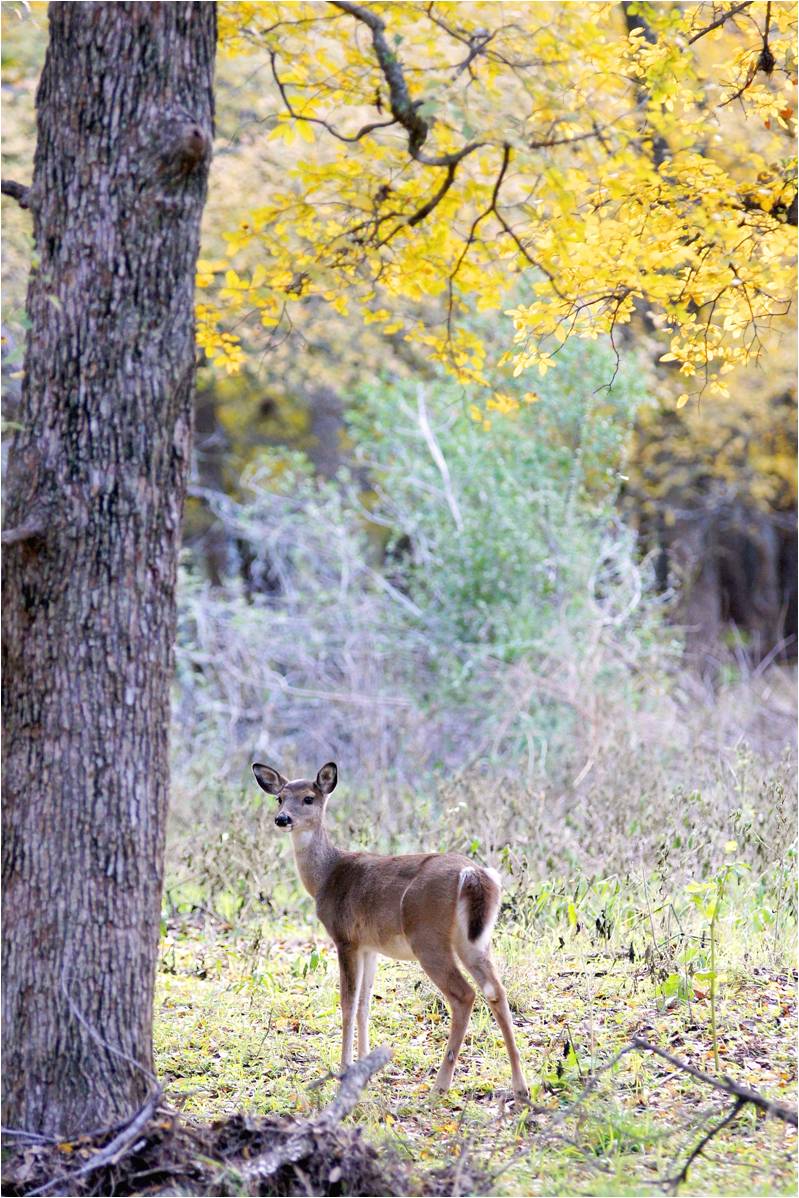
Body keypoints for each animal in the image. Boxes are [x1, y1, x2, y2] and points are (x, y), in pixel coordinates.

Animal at [252, 761, 531, 1097]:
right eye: (279, 798)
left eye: (309, 798)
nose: (282, 819)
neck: (326, 877)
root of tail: (473, 873)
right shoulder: (369, 946)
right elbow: (365, 1003)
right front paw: (364, 1068)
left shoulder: (344, 938)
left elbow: (347, 1002)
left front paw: (344, 1069)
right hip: (475, 941)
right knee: (496, 991)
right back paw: (520, 1086)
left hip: (428, 938)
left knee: (464, 995)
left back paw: (440, 1085)